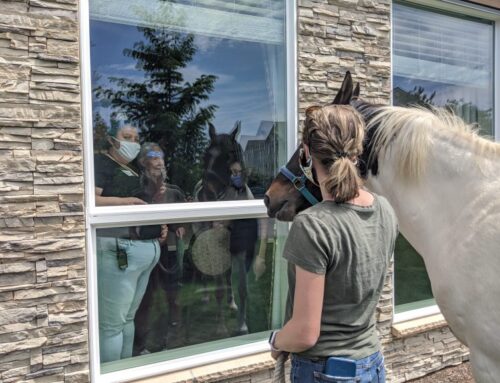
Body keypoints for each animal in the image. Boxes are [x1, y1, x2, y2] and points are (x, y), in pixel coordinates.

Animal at [195, 121, 258, 336]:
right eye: (205, 155)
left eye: (230, 154)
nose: (205, 195)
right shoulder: (216, 248)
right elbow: (219, 289)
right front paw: (221, 328)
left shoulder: (244, 250)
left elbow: (243, 288)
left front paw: (242, 326)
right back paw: (205, 297)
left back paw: (232, 304)